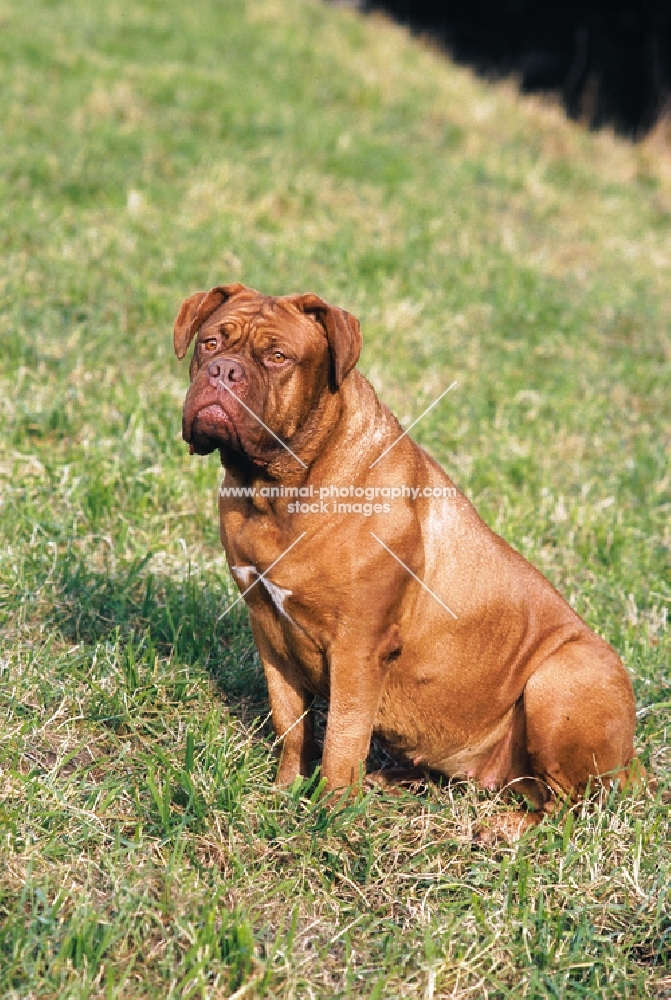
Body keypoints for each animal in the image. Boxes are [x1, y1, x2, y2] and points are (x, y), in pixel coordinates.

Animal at [173, 284, 640, 836]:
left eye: (278, 356)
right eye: (209, 342)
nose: (222, 370)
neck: (275, 491)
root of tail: (633, 764)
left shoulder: (358, 647)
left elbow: (343, 737)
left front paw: (330, 814)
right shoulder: (269, 629)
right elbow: (292, 724)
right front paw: (286, 791)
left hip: (563, 677)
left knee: (568, 807)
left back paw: (503, 828)